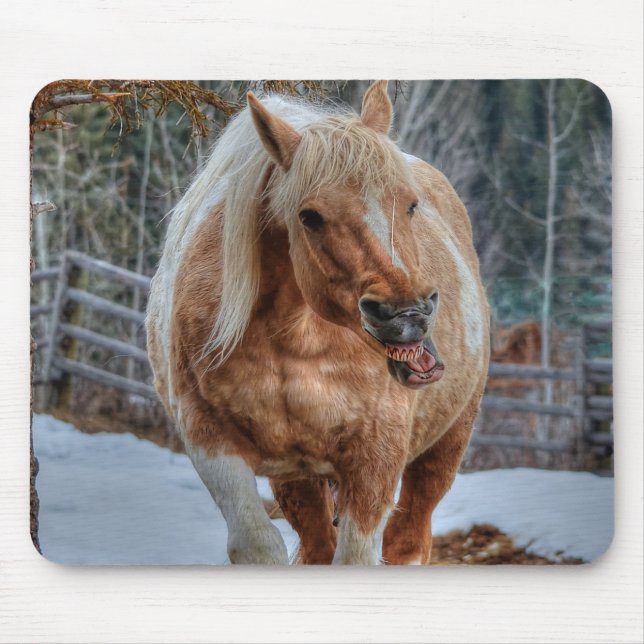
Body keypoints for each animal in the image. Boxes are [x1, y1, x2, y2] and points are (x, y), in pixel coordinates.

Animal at [146, 81, 490, 565]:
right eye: (309, 216)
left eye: (410, 205)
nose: (407, 314)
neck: (296, 342)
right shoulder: (210, 441)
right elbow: (258, 544)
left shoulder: (375, 459)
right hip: (298, 480)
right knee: (317, 546)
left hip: (444, 448)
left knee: (407, 542)